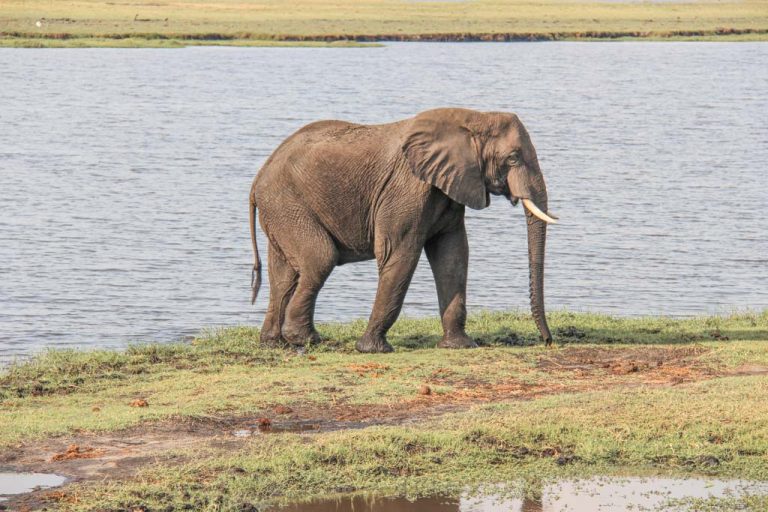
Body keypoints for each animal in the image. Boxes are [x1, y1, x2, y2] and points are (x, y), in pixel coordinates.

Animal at [252, 109, 560, 352]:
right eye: (513, 159)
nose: (547, 341)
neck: (472, 117)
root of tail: (257, 180)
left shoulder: (449, 188)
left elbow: (453, 255)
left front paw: (460, 346)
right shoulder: (407, 190)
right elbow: (400, 255)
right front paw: (373, 350)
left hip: (281, 211)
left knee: (283, 274)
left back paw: (274, 342)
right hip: (287, 204)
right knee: (320, 259)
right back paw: (306, 339)